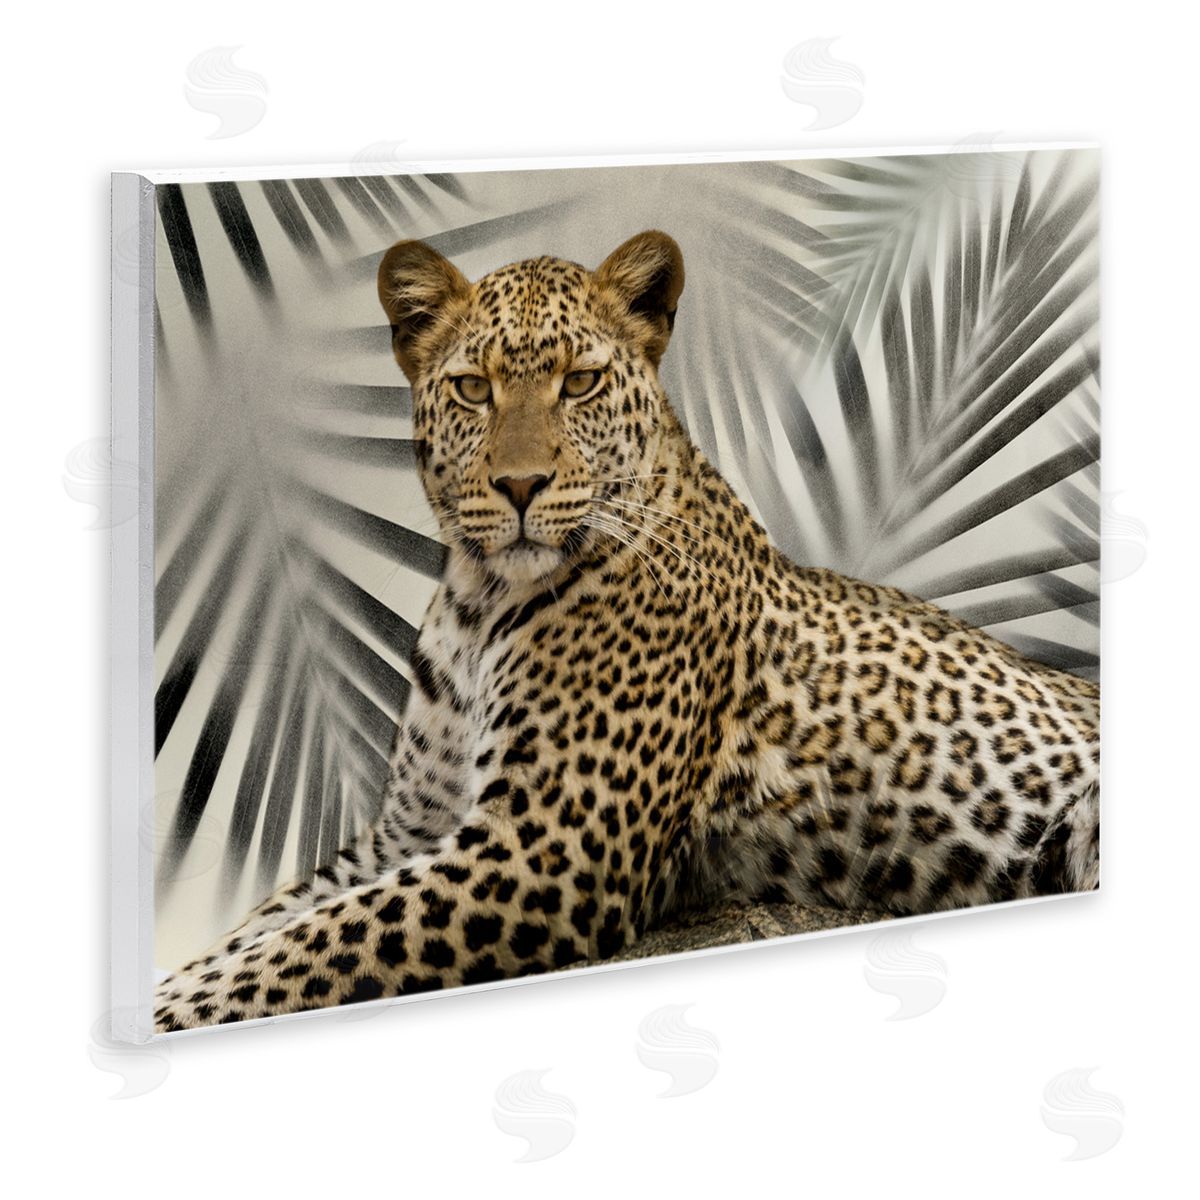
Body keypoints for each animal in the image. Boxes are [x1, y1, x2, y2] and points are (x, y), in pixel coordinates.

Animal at [154, 230, 1100, 1031]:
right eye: (473, 388)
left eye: (580, 383)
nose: (521, 486)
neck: (477, 600)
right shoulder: (409, 832)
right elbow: (267, 928)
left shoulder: (546, 847)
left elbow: (301, 949)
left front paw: (169, 1010)